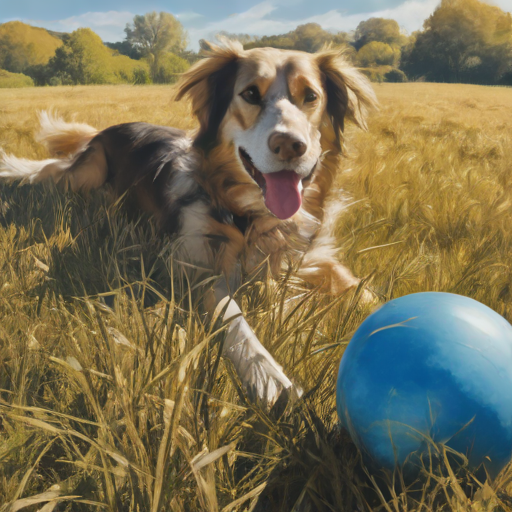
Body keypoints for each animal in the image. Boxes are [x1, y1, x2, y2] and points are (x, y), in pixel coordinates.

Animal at [0, 40, 376, 408]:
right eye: (250, 94)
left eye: (310, 96)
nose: (289, 145)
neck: (251, 219)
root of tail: (108, 129)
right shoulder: (201, 273)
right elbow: (235, 319)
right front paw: (270, 377)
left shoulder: (310, 257)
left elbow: (364, 291)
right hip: (84, 174)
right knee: (48, 170)